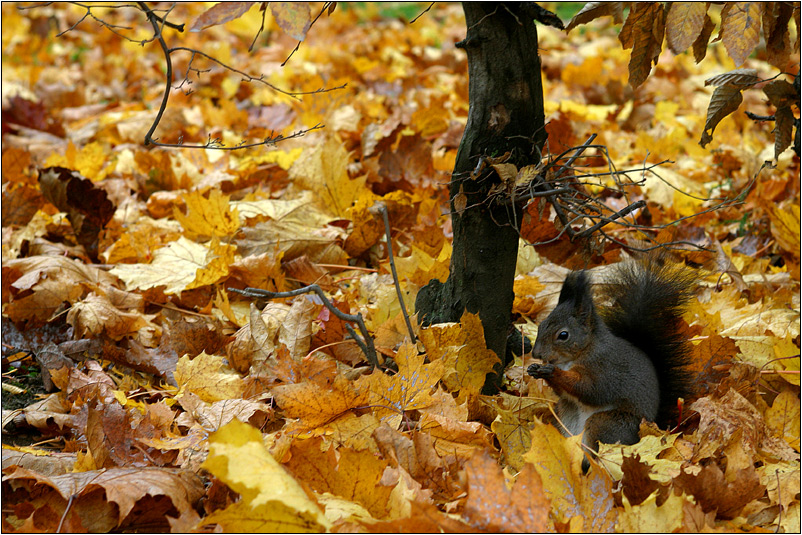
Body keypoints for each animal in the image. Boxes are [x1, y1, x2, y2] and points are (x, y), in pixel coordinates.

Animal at [524, 258, 692, 472]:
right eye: (541, 324)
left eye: (563, 335)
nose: (536, 353)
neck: (580, 353)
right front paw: (535, 369)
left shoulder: (605, 370)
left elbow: (590, 389)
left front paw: (553, 373)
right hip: (564, 418)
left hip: (608, 424)